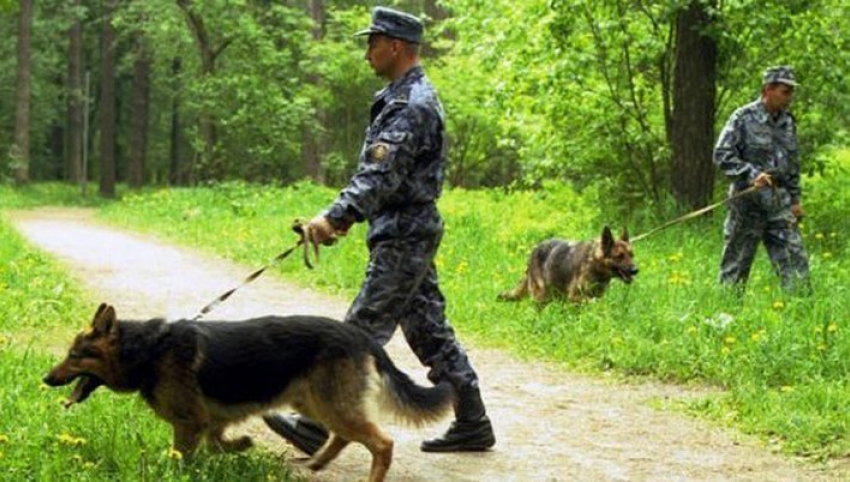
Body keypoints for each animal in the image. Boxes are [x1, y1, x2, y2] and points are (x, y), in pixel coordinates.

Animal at [43, 306, 454, 482]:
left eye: (75, 356)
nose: (46, 379)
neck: (147, 349)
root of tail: (359, 335)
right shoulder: (208, 422)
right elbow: (217, 444)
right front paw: (242, 445)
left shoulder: (189, 424)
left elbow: (183, 456)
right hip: (315, 402)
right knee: (343, 435)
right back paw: (318, 462)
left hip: (331, 403)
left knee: (381, 442)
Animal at [496, 227, 636, 304]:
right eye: (619, 256)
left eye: (631, 255)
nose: (636, 270)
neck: (594, 263)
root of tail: (534, 251)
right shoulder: (574, 297)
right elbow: (591, 301)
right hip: (541, 296)